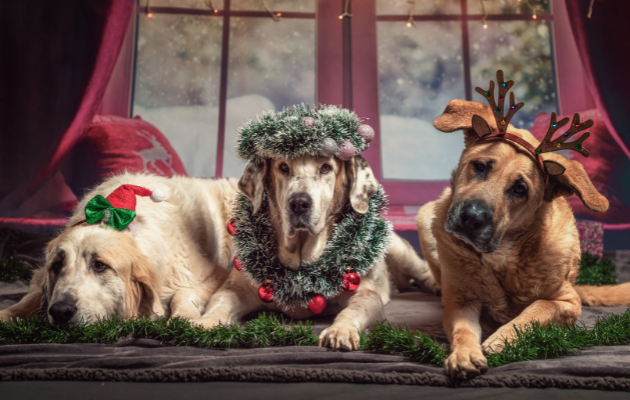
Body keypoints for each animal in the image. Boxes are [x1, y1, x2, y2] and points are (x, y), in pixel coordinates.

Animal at [0, 172, 237, 324]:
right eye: (57, 266)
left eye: (100, 266)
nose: (60, 311)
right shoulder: (41, 275)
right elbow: (30, 297)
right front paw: (6, 314)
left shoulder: (213, 274)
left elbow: (182, 293)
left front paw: (183, 319)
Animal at [196, 104, 440, 348]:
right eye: (283, 167)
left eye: (325, 168)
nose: (299, 203)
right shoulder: (235, 288)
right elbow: (220, 302)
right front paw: (205, 323)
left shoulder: (365, 293)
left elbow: (353, 309)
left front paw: (340, 331)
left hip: (398, 249)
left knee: (422, 268)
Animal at [418, 70, 628, 380]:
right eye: (480, 166)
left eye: (520, 189)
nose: (472, 218)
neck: (503, 255)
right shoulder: (461, 302)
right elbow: (462, 330)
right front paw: (465, 353)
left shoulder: (568, 302)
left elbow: (536, 310)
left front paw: (501, 339)